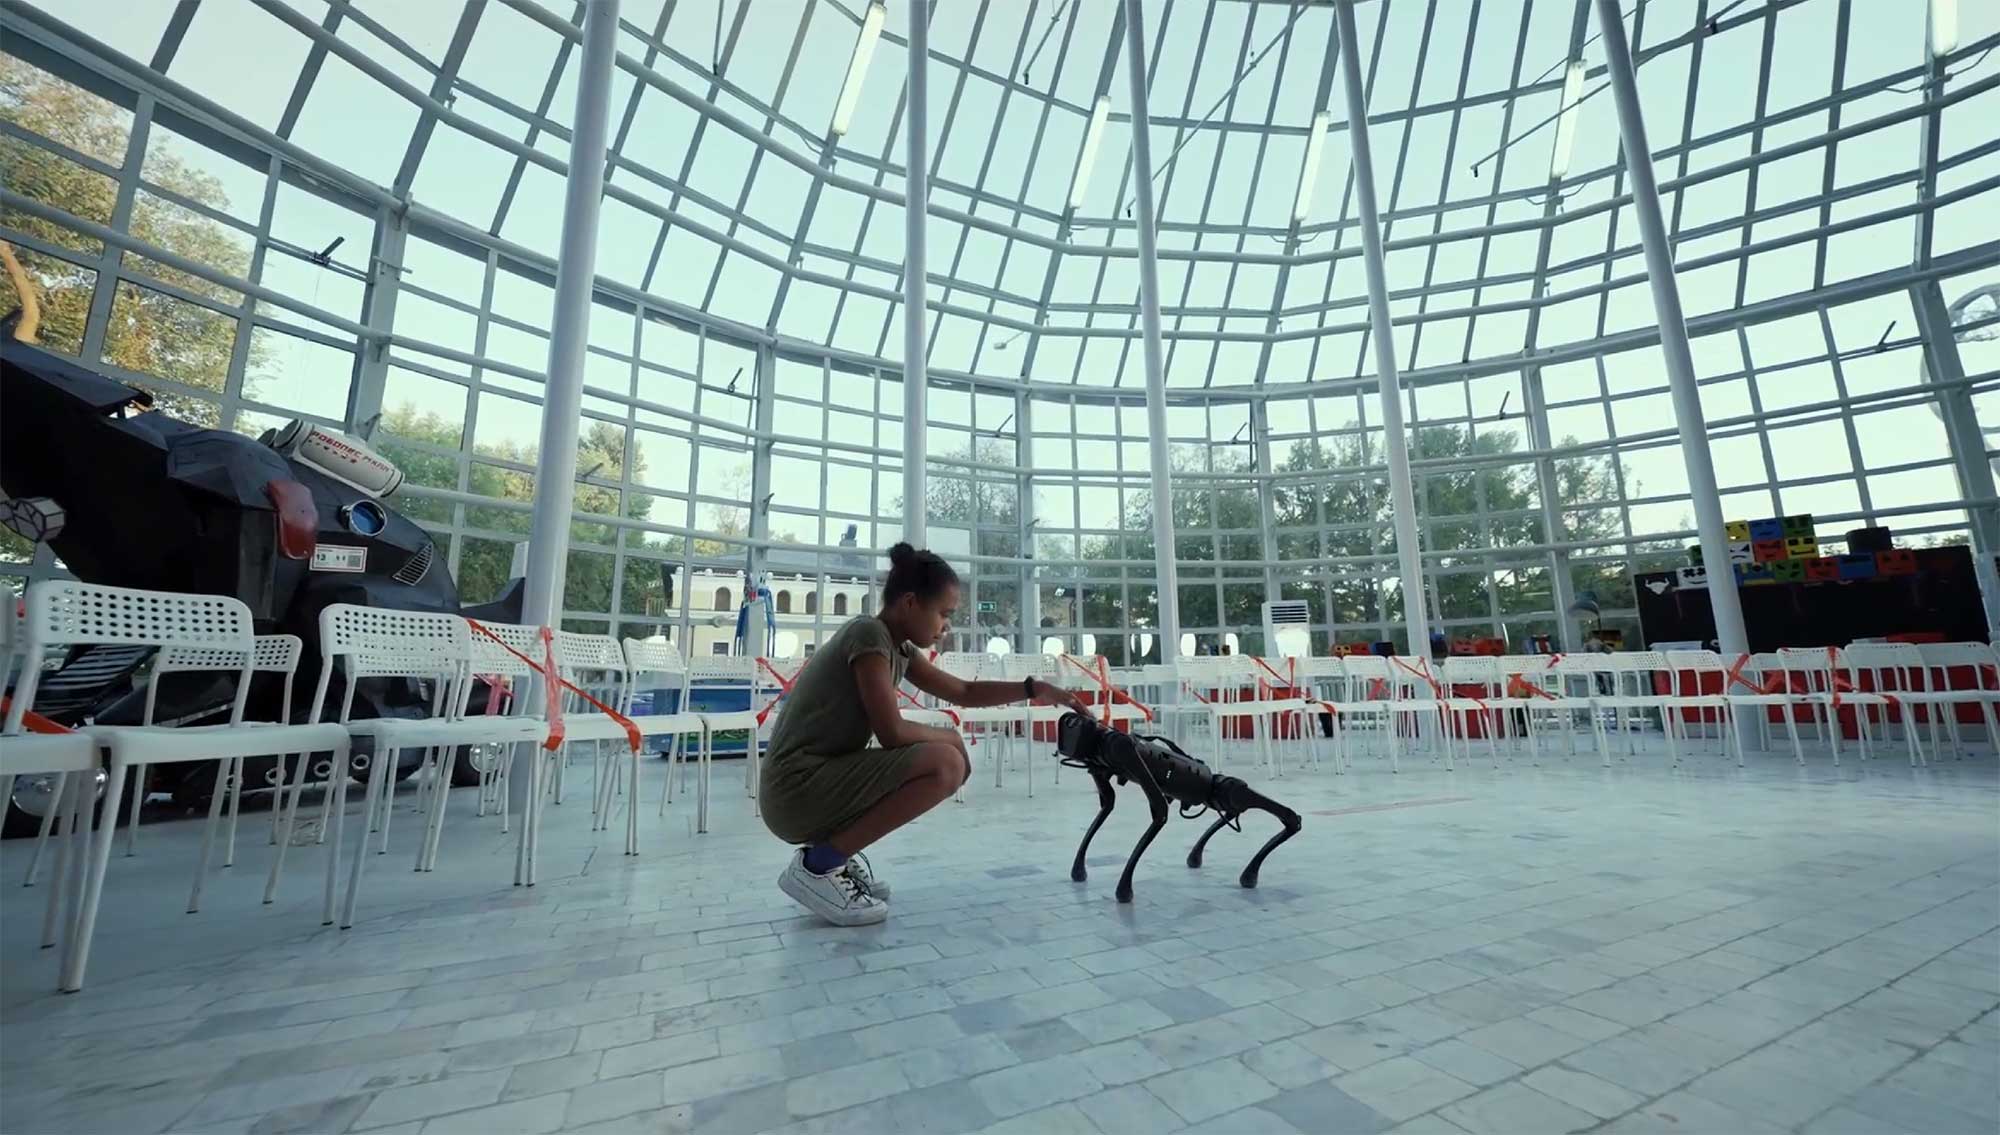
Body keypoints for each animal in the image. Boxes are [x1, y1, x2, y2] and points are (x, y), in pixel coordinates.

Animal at [1056, 711, 1304, 903]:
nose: (1069, 725)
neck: (1102, 740)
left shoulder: (1126, 753)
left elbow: (1159, 812)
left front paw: (1124, 890)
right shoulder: (1103, 768)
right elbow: (1108, 803)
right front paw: (1079, 870)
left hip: (1219, 790)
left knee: (1238, 795)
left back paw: (1255, 866)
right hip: (1212, 794)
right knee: (1228, 802)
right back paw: (1202, 856)